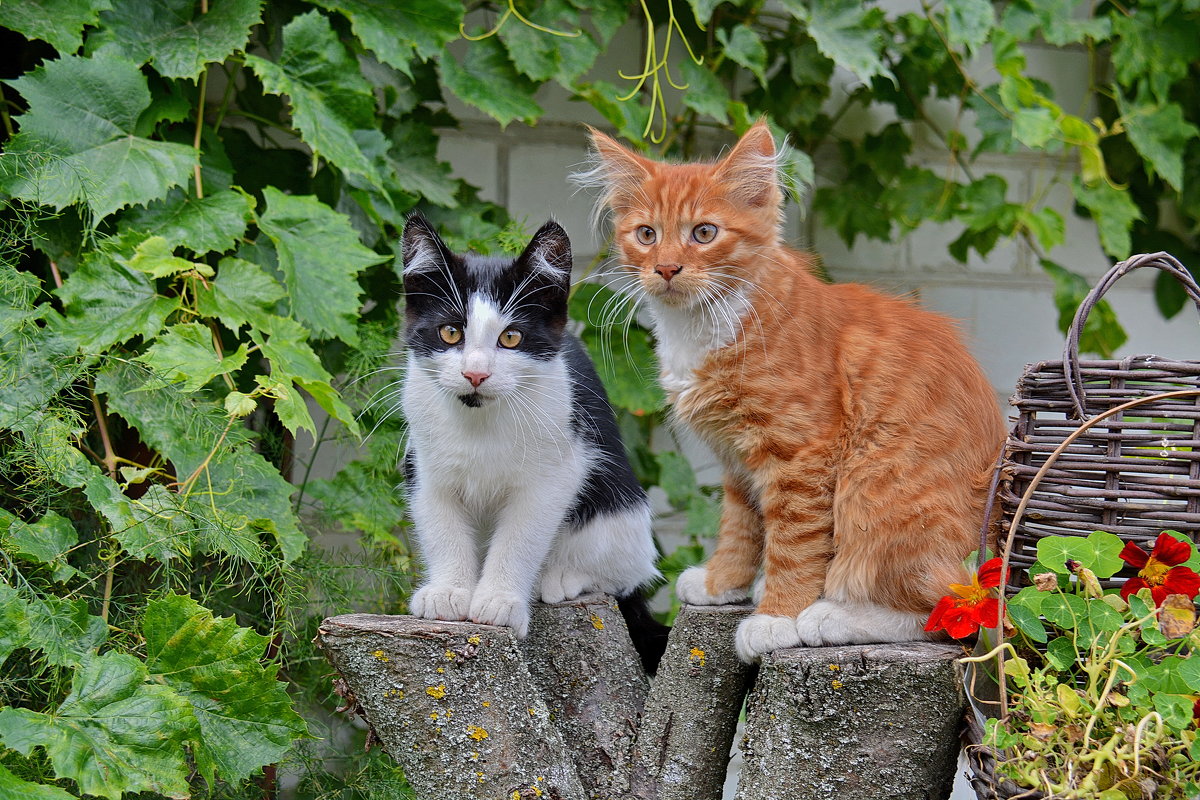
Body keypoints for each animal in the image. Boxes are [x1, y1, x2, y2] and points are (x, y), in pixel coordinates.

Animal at [400, 212, 667, 671]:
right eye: (450, 333)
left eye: (511, 338)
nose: (475, 374)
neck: (481, 420)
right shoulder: (425, 464)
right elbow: (440, 525)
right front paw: (449, 591)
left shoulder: (554, 474)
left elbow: (520, 536)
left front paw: (500, 601)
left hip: (620, 506)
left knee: (628, 570)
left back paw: (559, 577)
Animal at [576, 123, 1008, 662]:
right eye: (646, 235)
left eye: (704, 233)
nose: (667, 269)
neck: (702, 326)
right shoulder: (737, 459)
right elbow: (741, 526)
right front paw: (723, 582)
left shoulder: (801, 453)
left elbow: (794, 541)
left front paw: (778, 617)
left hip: (875, 490)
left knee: (945, 611)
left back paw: (832, 615)